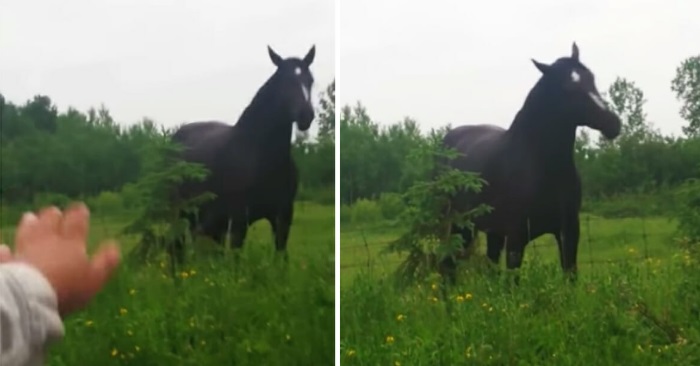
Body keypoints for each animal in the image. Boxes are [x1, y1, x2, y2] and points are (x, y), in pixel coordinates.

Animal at [440, 43, 628, 284]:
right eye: (567, 87)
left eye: (591, 78)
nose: (612, 123)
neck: (543, 167)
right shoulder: (516, 237)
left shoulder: (568, 232)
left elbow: (570, 276)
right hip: (459, 225)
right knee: (448, 264)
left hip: (491, 231)